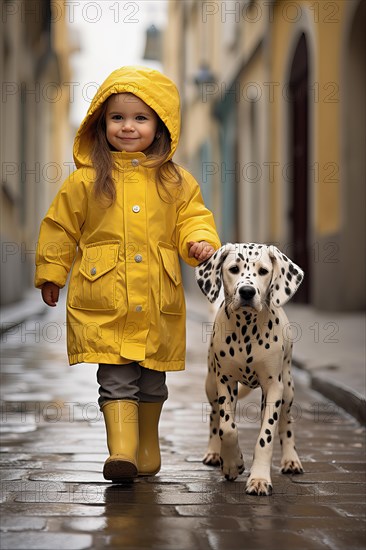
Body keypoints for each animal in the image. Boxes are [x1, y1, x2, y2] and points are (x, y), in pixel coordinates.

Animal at [196, 244, 304, 498]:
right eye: (233, 269)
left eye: (263, 271)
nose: (246, 291)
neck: (246, 330)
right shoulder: (225, 382)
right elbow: (227, 427)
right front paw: (232, 463)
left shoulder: (273, 387)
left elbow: (266, 436)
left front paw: (259, 478)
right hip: (211, 384)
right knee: (214, 417)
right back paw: (214, 452)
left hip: (288, 389)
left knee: (286, 423)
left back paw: (291, 459)